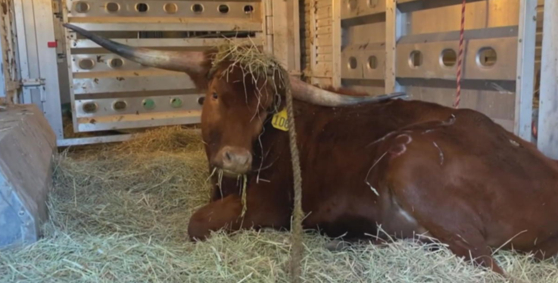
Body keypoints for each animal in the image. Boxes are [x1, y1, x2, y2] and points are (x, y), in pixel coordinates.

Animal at [66, 24, 558, 276]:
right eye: (214, 95)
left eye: (266, 107)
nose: (238, 159)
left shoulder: (267, 206)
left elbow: (197, 223)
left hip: (411, 161)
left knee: (490, 265)